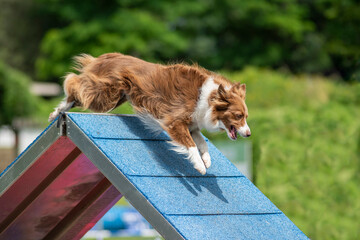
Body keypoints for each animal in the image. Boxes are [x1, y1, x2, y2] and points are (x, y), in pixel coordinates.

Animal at [49, 53, 250, 174]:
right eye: (238, 116)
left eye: (246, 116)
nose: (248, 134)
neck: (208, 98)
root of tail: (109, 55)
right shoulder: (174, 121)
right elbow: (191, 145)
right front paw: (200, 166)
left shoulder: (192, 125)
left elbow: (202, 142)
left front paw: (207, 160)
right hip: (106, 96)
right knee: (74, 83)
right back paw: (59, 108)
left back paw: (57, 111)